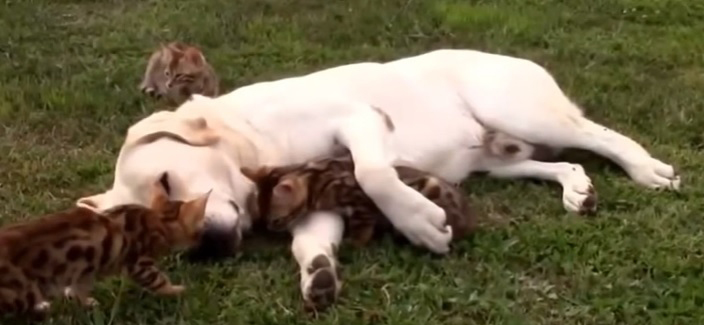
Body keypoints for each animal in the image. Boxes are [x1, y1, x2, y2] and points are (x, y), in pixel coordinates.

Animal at [0, 173, 210, 318]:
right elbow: (159, 281)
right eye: (199, 230)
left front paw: (86, 303)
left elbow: (79, 289)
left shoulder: (85, 268)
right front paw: (178, 291)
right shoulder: (140, 264)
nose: (202, 240)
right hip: (24, 292)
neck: (157, 220)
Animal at [74, 48, 680, 308]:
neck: (252, 139)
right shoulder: (317, 202)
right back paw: (578, 188)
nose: (207, 244)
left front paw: (422, 224)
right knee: (562, 160)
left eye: (168, 182)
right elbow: (311, 243)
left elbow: (374, 173)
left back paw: (649, 170)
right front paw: (318, 274)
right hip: (498, 158)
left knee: (600, 135)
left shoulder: (359, 119)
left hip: (519, 111)